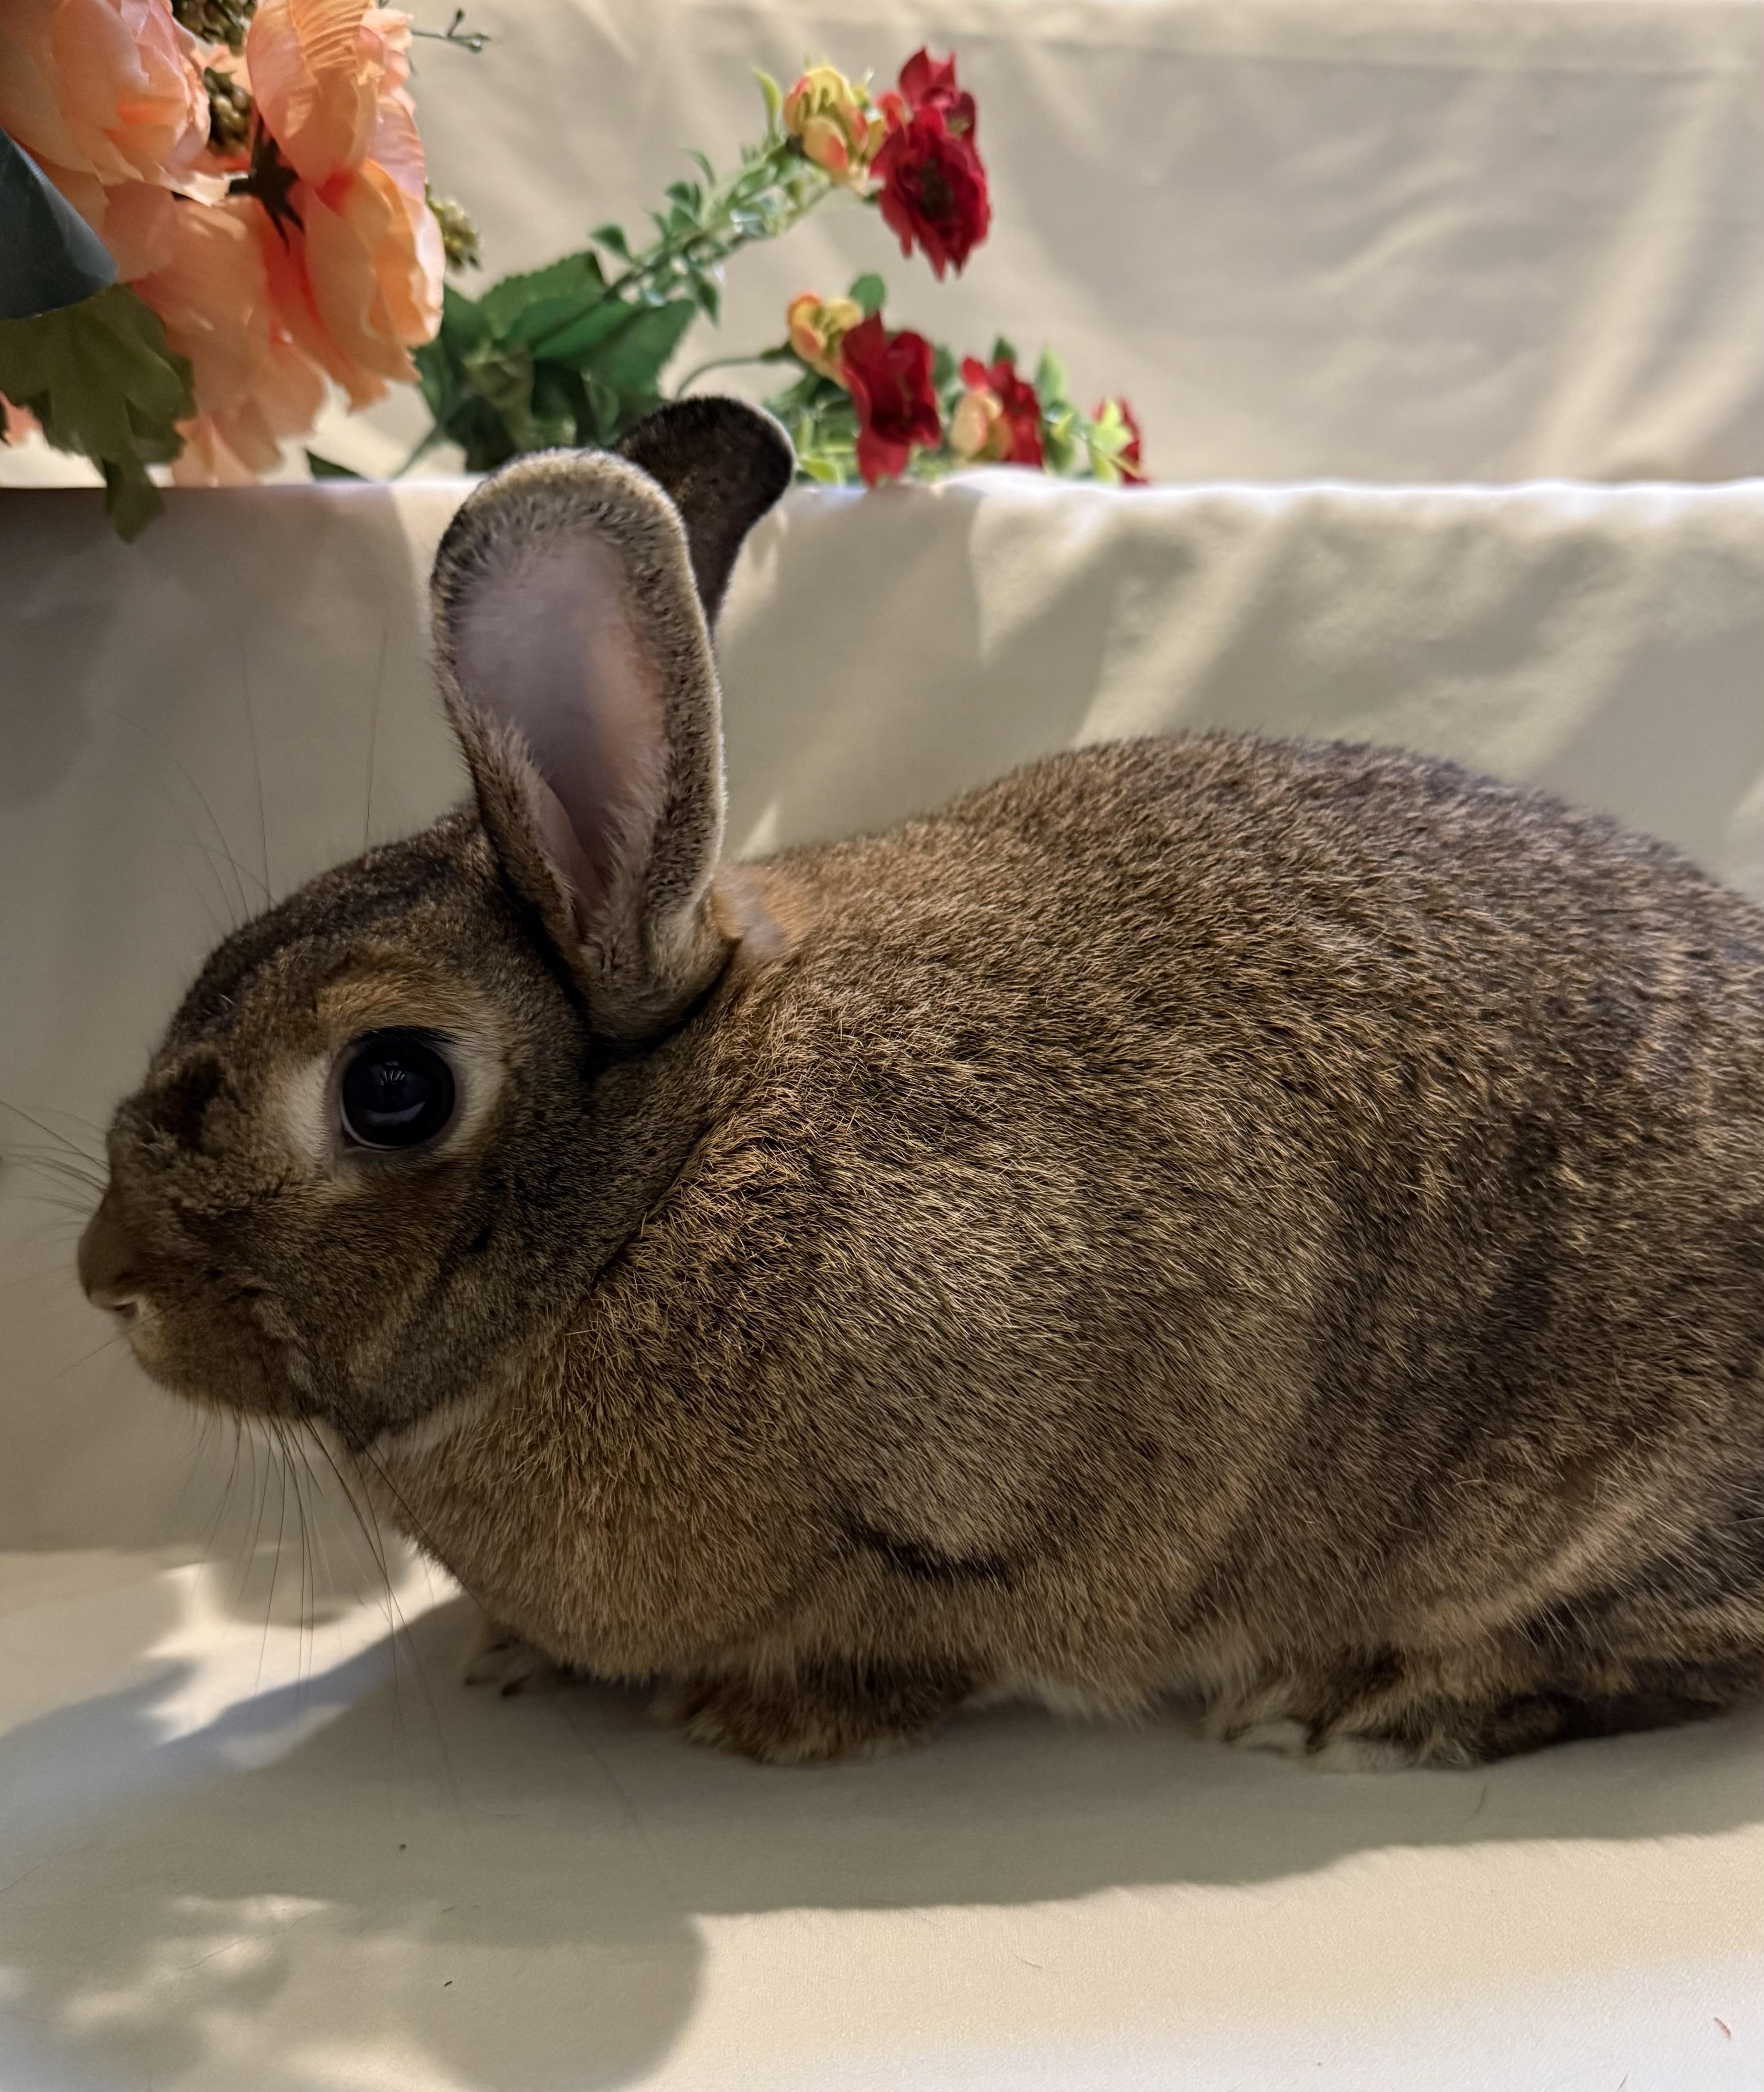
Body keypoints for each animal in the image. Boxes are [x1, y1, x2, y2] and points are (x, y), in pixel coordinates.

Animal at [78, 396, 1764, 1770]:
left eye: (392, 1089)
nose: (110, 1280)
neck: (664, 1172)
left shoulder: (992, 1506)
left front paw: (758, 1721)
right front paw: (507, 1655)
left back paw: (1370, 1706)